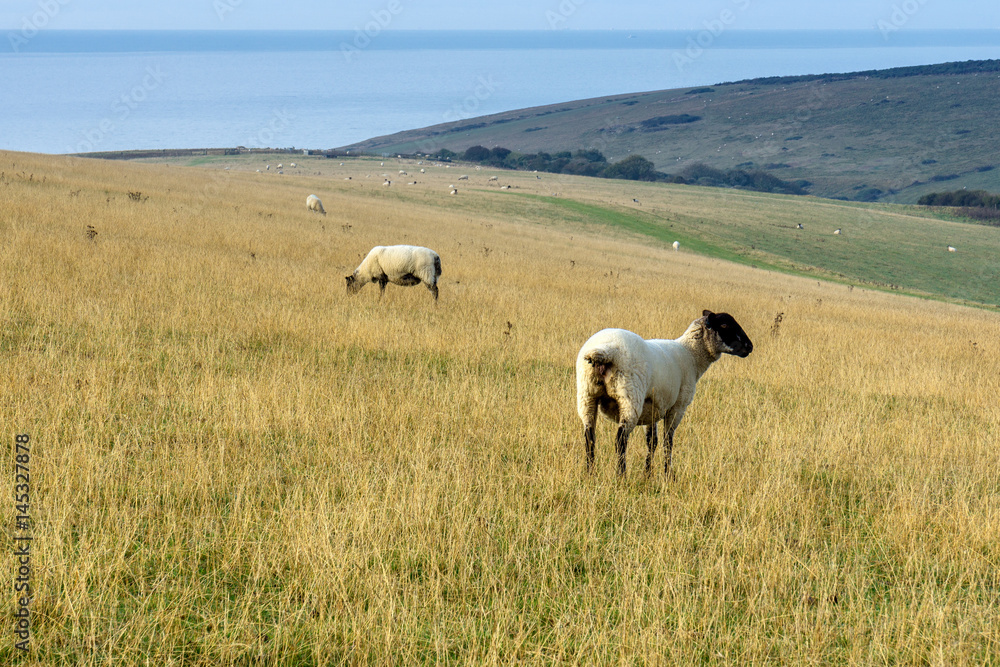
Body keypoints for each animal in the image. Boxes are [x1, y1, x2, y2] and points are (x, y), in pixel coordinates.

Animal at [576, 310, 752, 478]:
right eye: (724, 325)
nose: (750, 346)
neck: (692, 355)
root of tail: (605, 351)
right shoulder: (678, 407)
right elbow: (668, 441)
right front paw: (668, 475)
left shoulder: (651, 407)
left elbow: (652, 441)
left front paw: (648, 474)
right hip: (630, 398)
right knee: (620, 440)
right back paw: (621, 476)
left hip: (587, 396)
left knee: (589, 438)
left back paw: (590, 474)